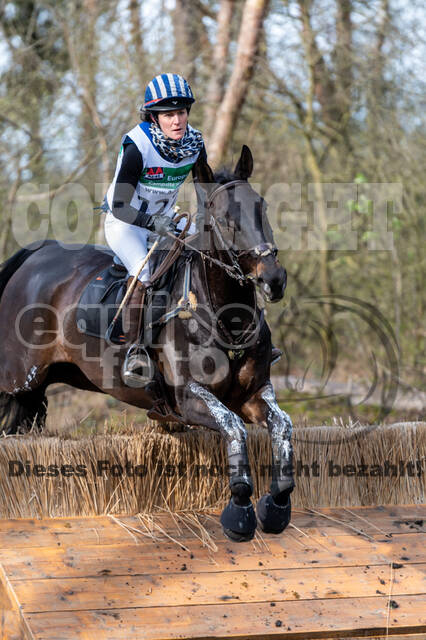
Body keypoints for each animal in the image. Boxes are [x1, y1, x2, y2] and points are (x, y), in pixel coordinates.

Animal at [0, 145, 294, 540]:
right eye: (223, 217)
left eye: (261, 206)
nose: (273, 279)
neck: (226, 316)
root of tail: (35, 254)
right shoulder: (188, 397)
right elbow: (233, 428)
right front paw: (240, 511)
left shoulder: (255, 393)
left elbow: (283, 426)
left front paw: (277, 505)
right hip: (14, 380)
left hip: (34, 390)